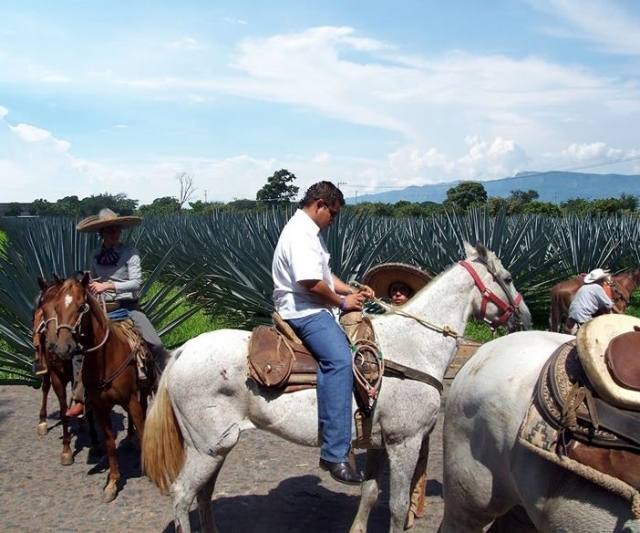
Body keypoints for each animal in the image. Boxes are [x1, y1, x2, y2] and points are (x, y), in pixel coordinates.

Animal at [47, 272, 152, 502]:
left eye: (80, 307)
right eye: (57, 308)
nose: (62, 348)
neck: (106, 359)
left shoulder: (130, 398)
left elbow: (142, 429)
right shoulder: (100, 406)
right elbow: (110, 442)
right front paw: (112, 483)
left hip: (142, 389)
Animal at [141, 242, 531, 533]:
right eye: (508, 277)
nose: (526, 318)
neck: (415, 345)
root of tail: (182, 352)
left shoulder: (378, 443)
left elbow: (370, 492)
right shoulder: (405, 441)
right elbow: (397, 506)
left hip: (215, 447)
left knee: (203, 494)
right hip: (208, 447)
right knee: (182, 494)